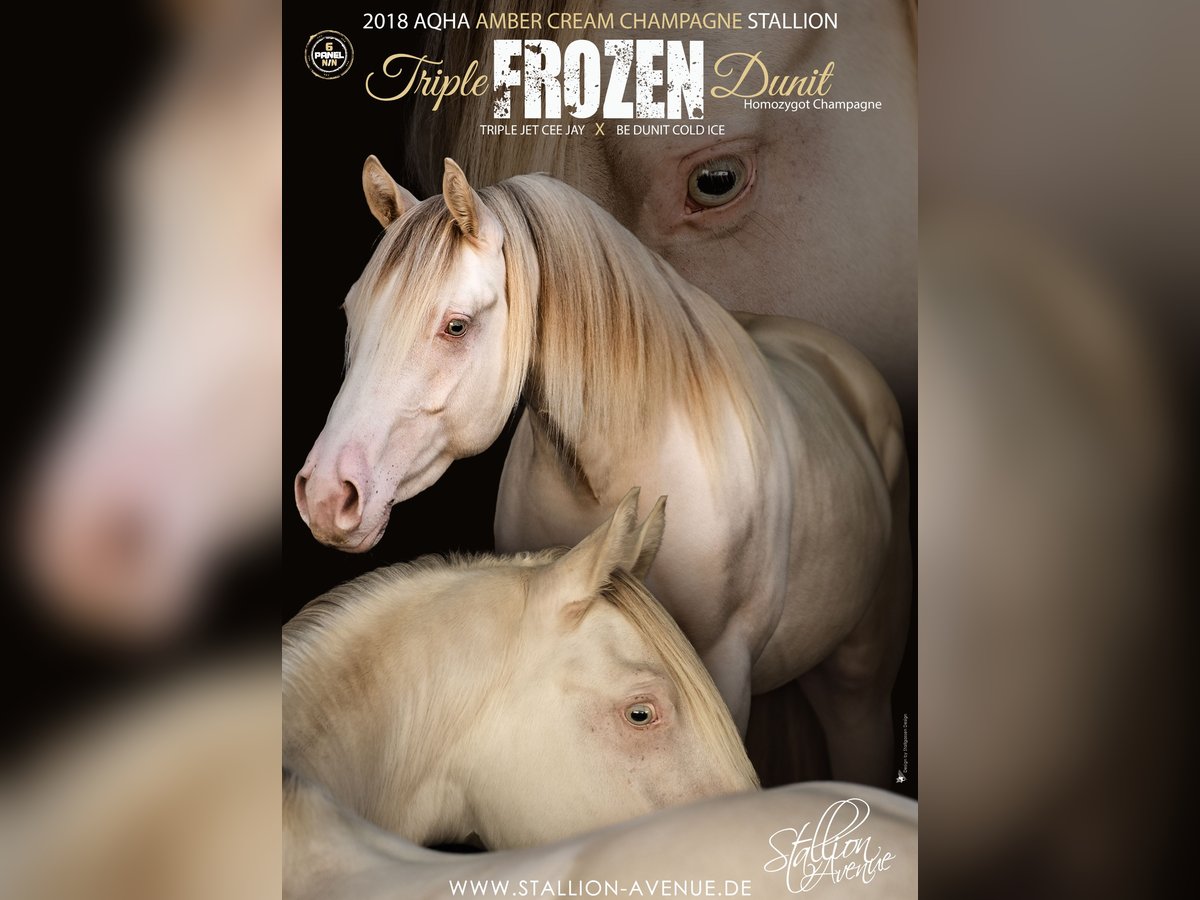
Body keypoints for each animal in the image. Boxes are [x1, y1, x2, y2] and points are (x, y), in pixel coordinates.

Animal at [294, 157, 909, 785]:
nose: (327, 494)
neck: (623, 465)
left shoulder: (723, 669)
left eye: (457, 326)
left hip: (858, 681)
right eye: (352, 314)